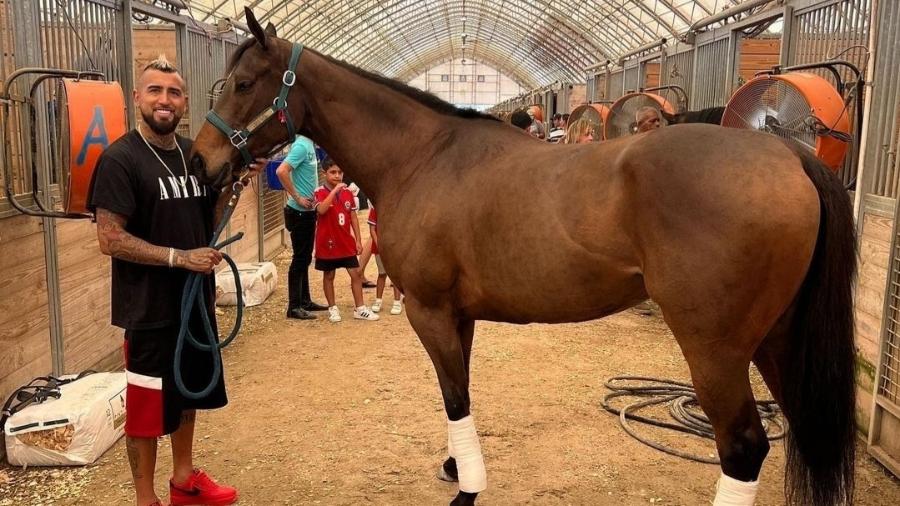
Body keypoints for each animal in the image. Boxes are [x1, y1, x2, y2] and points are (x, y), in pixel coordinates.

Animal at [188, 8, 856, 506]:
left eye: (244, 83)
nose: (200, 161)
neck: (424, 157)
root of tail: (786, 154)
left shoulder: (429, 310)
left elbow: (455, 396)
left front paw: (468, 488)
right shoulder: (459, 316)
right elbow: (458, 387)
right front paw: (456, 467)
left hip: (715, 348)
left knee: (743, 448)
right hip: (776, 340)